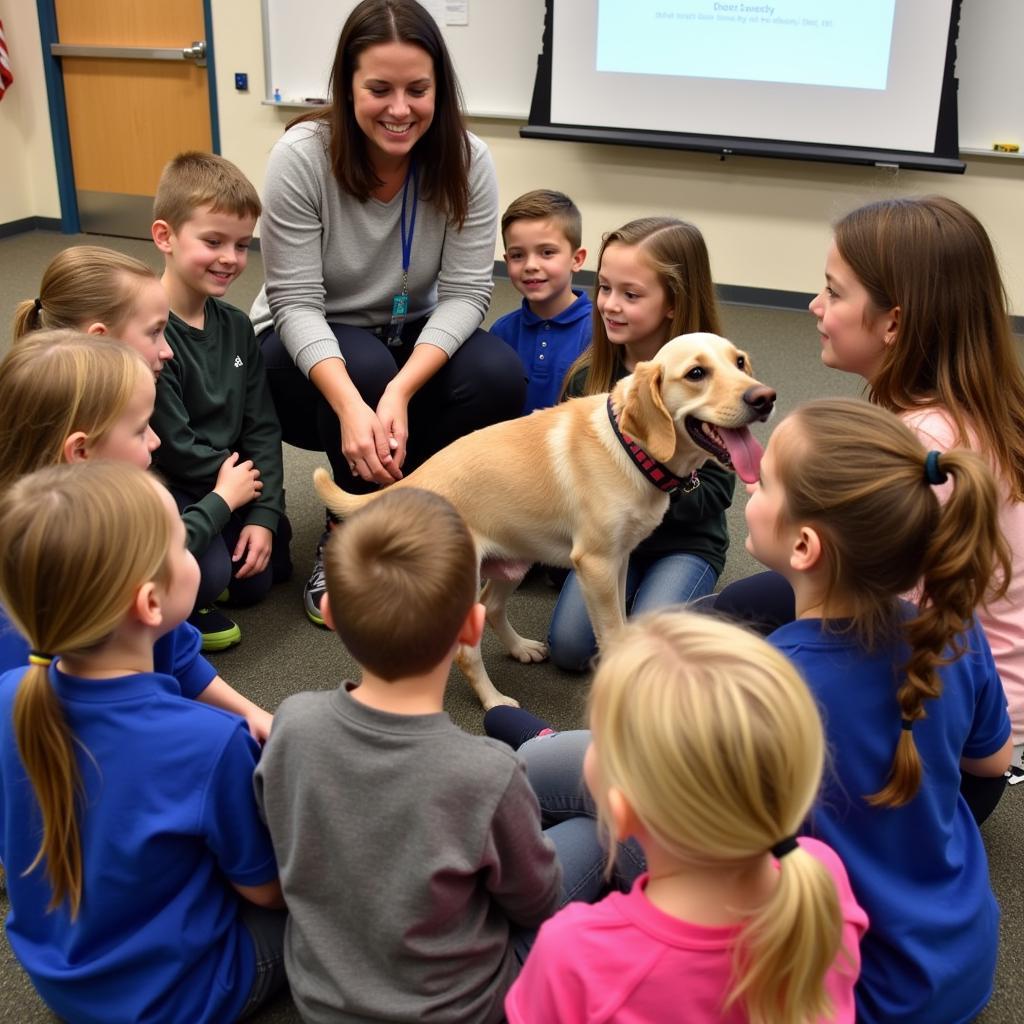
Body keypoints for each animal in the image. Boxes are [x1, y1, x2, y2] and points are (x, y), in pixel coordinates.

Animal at [315, 331, 770, 708]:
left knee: (492, 607)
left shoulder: (619, 559)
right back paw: (494, 701)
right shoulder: (596, 566)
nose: (765, 398)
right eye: (696, 373)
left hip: (516, 557)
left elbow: (623, 624)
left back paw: (520, 648)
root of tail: (413, 480)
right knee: (466, 650)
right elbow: (612, 633)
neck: (630, 448)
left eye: (740, 362)